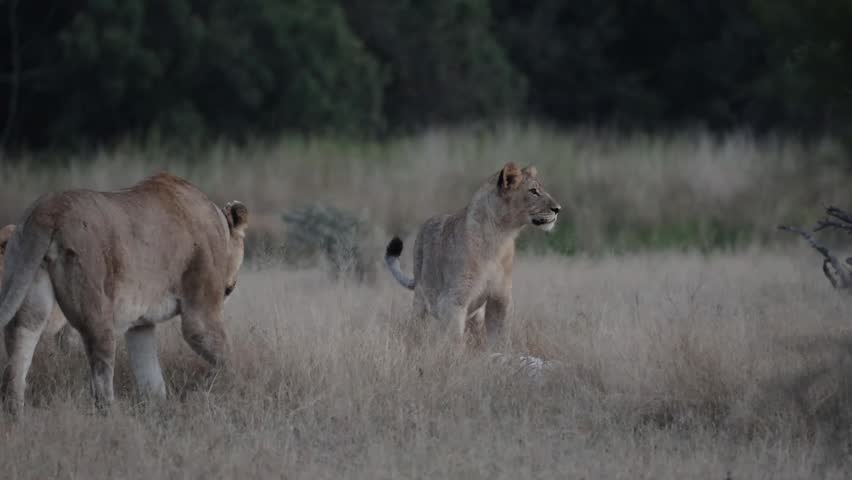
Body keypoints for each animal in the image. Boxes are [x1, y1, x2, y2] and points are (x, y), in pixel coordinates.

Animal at [0, 173, 248, 413]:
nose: (231, 286)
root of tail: (48, 209)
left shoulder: (141, 324)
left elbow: (151, 378)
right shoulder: (200, 312)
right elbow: (226, 357)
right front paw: (228, 391)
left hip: (28, 294)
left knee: (16, 360)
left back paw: (17, 416)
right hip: (96, 310)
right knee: (100, 377)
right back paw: (111, 415)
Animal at [384, 162, 561, 350]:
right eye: (533, 191)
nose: (558, 209)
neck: (500, 238)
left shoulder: (500, 298)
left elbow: (499, 338)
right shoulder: (453, 300)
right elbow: (454, 339)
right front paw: (454, 356)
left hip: (476, 315)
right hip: (421, 299)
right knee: (417, 327)